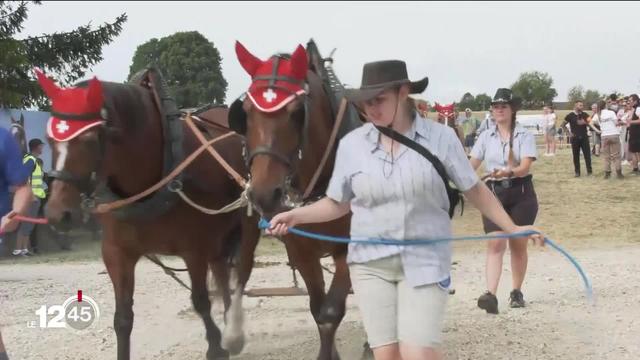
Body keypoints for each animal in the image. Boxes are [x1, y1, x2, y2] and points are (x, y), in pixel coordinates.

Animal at [39, 68, 260, 360]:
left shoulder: (194, 249)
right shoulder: (117, 252)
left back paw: (232, 329)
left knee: (239, 271)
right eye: (50, 140)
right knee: (221, 270)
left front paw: (215, 346)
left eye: (88, 140)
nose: (57, 214)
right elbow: (122, 318)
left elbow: (200, 301)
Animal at [229, 40, 360, 360]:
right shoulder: (302, 252)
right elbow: (319, 311)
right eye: (245, 112)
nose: (264, 194)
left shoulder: (350, 248)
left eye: (297, 112)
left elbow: (330, 312)